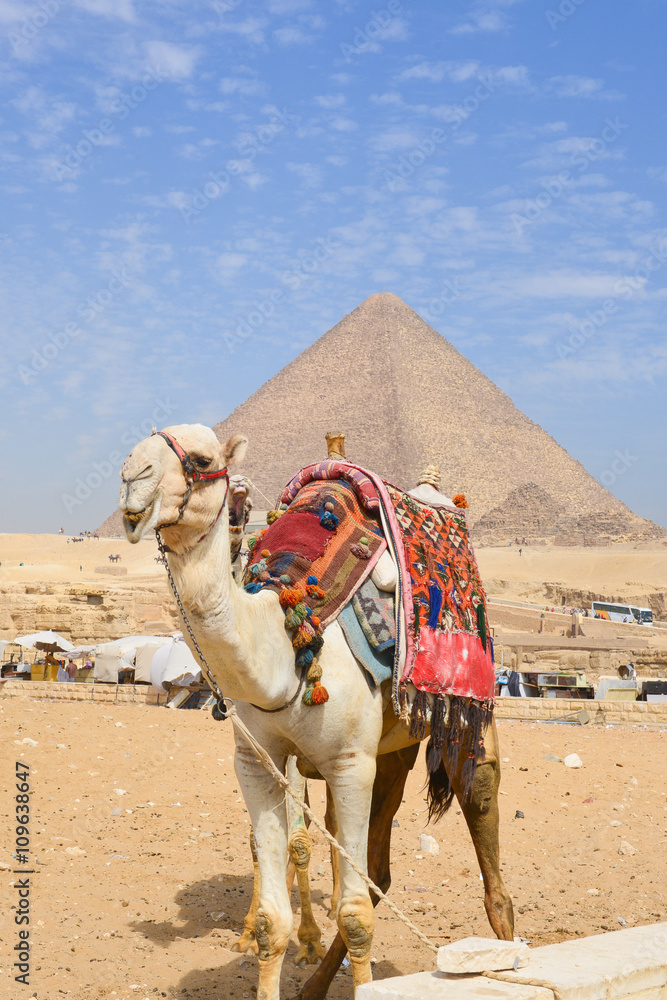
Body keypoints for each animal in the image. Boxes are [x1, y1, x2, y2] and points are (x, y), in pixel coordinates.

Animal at [119, 424, 513, 1000]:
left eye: (202, 459)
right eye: (133, 451)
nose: (133, 478)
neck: (285, 646)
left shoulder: (348, 762)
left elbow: (353, 914)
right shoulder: (258, 761)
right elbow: (274, 911)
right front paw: (272, 943)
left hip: (467, 713)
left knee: (486, 841)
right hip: (391, 752)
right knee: (379, 870)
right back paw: (314, 984)